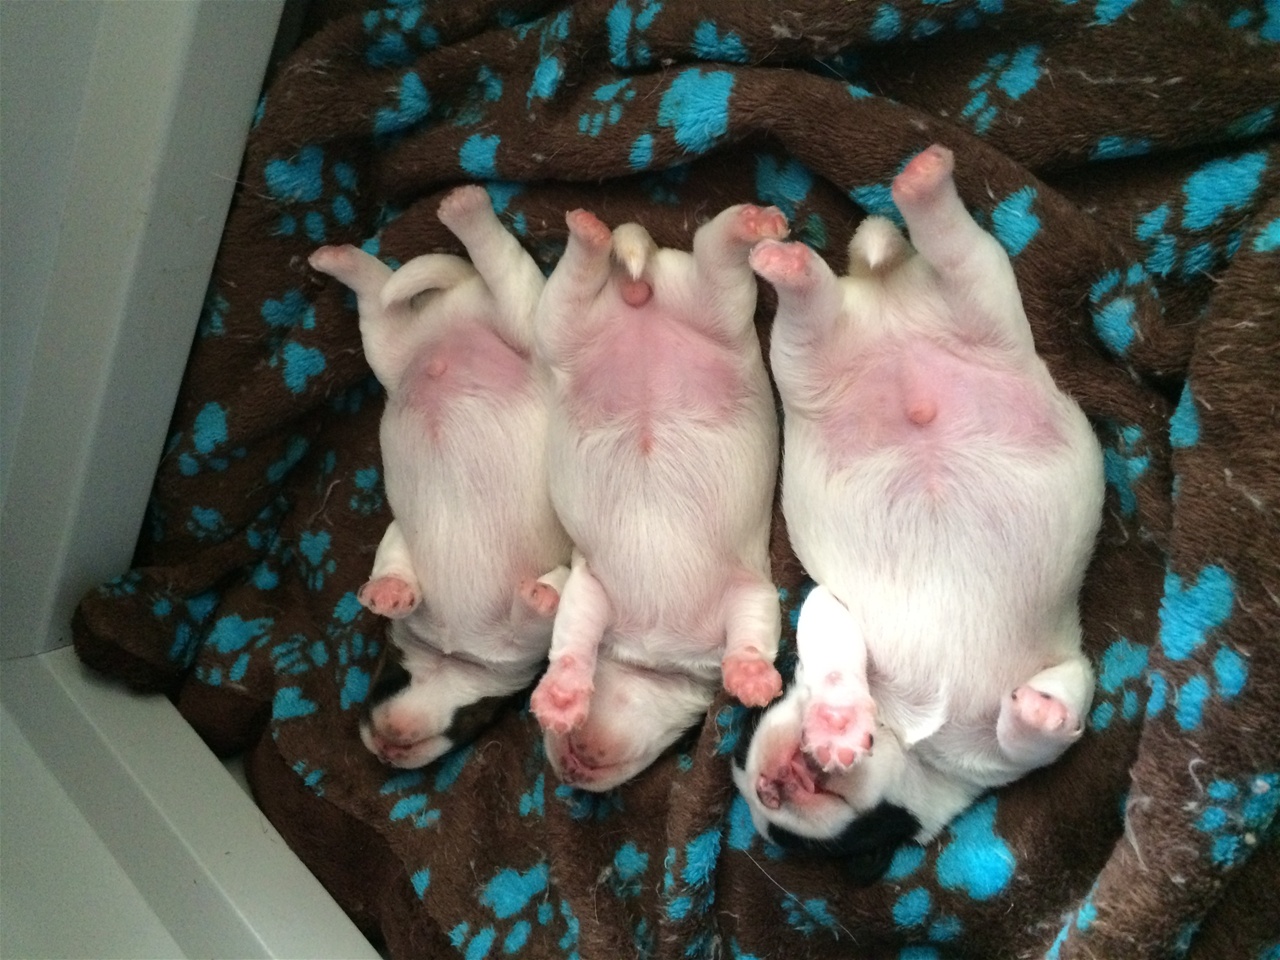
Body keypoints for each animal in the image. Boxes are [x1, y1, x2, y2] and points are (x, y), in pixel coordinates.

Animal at [309, 185, 571, 769]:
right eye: (389, 674)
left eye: (473, 722)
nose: (388, 750)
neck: (450, 655)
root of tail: (459, 309)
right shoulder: (399, 534)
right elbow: (394, 558)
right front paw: (388, 593)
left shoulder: (529, 647)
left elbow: (541, 611)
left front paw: (539, 597)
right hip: (394, 354)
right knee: (380, 301)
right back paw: (344, 256)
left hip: (524, 324)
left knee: (504, 271)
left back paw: (464, 210)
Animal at [528, 203, 789, 791]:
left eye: (684, 738)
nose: (571, 771)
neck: (653, 653)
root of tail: (641, 294)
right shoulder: (593, 586)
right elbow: (572, 636)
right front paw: (560, 698)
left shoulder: (748, 588)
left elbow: (755, 625)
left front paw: (752, 680)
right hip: (572, 326)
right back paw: (592, 229)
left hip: (715, 307)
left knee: (715, 254)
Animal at [732, 144, 1103, 877]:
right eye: (782, 835)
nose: (770, 785)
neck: (910, 734)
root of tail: (883, 301)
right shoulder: (830, 606)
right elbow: (832, 654)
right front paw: (837, 722)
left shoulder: (1009, 746)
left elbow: (1034, 734)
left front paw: (1040, 714)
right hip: (810, 357)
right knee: (829, 300)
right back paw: (823, 244)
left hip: (979, 300)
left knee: (953, 248)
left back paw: (908, 190)